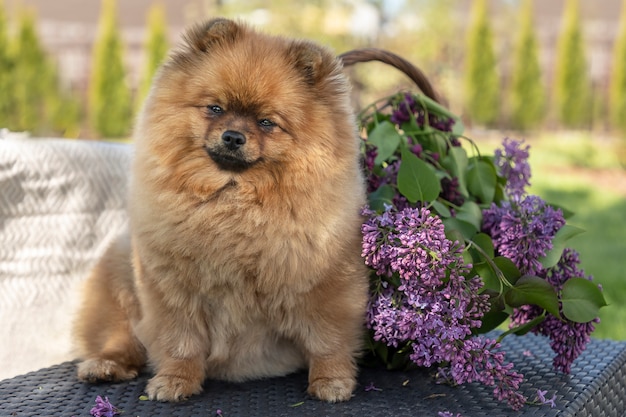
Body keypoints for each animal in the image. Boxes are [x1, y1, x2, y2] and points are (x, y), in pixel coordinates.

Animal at [73, 17, 368, 402]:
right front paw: (176, 380)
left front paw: (330, 381)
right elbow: (181, 342)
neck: (233, 200)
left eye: (266, 122)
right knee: (121, 337)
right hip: (119, 279)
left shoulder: (323, 287)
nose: (232, 136)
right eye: (214, 108)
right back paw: (105, 365)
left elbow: (327, 341)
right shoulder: (174, 292)